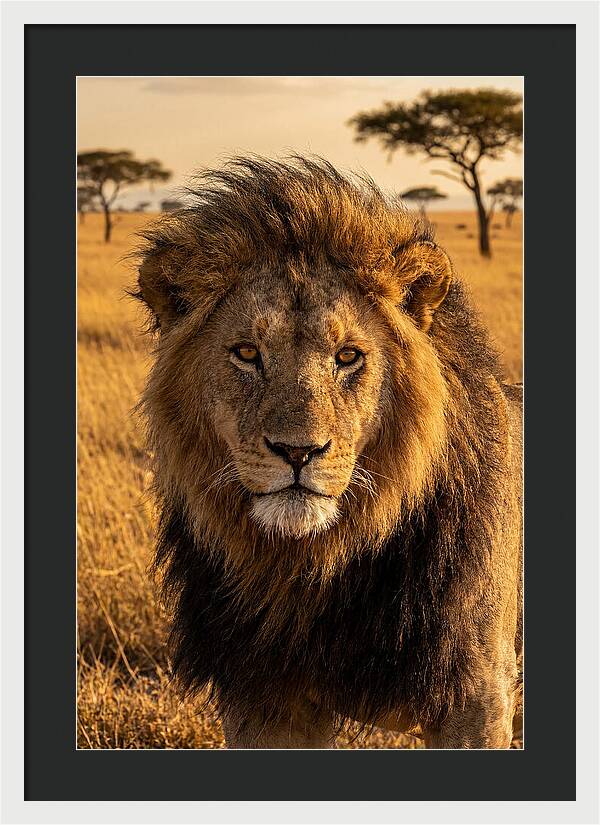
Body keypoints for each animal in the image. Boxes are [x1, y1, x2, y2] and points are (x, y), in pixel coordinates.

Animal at [134, 156, 523, 749]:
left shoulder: (477, 695)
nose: (298, 452)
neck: (313, 567)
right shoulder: (263, 698)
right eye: (246, 353)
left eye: (348, 356)